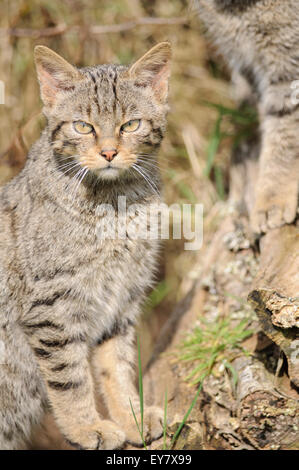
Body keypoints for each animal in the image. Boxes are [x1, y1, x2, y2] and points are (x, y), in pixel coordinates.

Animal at [0, 42, 171, 450]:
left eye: (130, 125)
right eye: (83, 126)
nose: (109, 152)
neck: (118, 200)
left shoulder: (121, 300)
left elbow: (117, 366)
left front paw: (132, 416)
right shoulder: (52, 308)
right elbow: (70, 379)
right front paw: (85, 427)